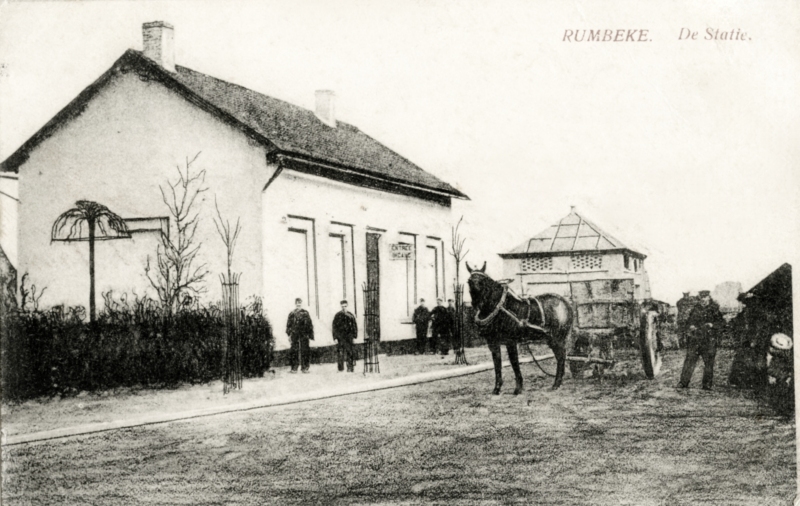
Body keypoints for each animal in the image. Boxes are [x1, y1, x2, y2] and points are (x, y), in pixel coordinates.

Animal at [466, 260, 572, 396]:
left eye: (483, 281)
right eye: (469, 281)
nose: (477, 303)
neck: (501, 307)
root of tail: (565, 302)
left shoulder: (511, 342)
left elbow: (514, 362)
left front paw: (518, 388)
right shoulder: (493, 343)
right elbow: (497, 364)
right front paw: (497, 389)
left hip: (557, 338)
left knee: (561, 356)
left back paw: (556, 384)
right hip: (551, 339)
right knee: (560, 356)